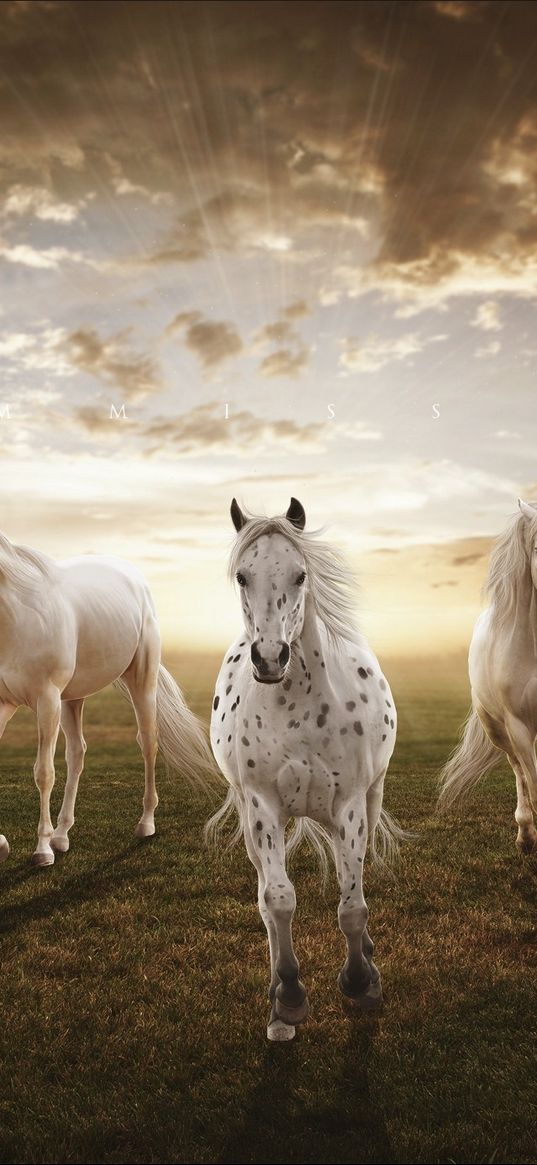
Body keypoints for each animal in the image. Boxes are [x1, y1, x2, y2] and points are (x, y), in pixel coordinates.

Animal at [0, 528, 213, 866]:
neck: (17, 616)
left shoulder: (46, 700)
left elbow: (44, 773)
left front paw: (42, 850)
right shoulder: (5, 703)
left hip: (140, 680)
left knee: (148, 742)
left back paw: (145, 824)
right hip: (72, 698)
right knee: (77, 753)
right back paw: (62, 835)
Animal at [207, 496, 400, 1043]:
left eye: (299, 574)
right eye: (243, 576)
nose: (270, 658)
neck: (297, 708)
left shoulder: (350, 804)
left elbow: (352, 905)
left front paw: (359, 981)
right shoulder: (262, 807)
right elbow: (278, 901)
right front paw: (290, 997)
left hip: (364, 804)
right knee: (265, 902)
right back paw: (277, 1000)